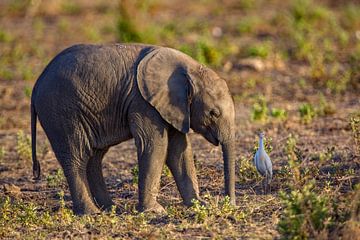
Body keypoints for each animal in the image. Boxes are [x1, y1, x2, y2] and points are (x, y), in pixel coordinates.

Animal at [31, 43, 236, 216]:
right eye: (214, 113)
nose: (230, 204)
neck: (188, 69)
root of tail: (37, 83)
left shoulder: (174, 107)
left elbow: (179, 151)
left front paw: (199, 205)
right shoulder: (143, 103)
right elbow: (155, 146)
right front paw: (155, 211)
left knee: (93, 157)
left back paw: (111, 209)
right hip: (61, 113)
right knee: (76, 157)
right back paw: (91, 213)